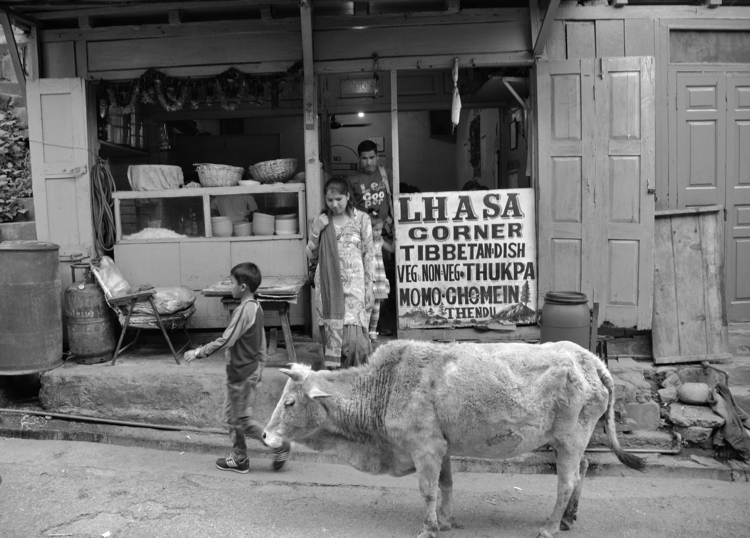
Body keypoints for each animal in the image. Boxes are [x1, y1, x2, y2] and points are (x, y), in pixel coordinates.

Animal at [262, 340, 648, 536]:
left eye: (290, 402)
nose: (265, 436)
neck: (387, 384)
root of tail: (593, 360)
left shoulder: (424, 448)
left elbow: (427, 490)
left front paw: (429, 527)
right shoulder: (440, 447)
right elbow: (446, 484)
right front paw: (446, 521)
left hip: (569, 438)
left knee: (567, 481)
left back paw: (552, 526)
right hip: (573, 441)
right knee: (583, 469)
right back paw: (568, 517)